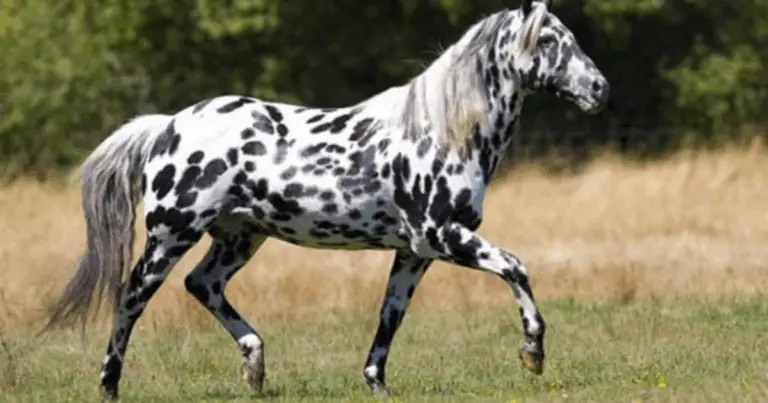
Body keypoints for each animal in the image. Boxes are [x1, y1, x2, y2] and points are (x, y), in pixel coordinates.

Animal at [44, 0, 609, 399]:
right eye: (550, 39)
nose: (600, 89)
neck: (443, 133)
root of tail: (168, 126)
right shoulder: (442, 235)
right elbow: (516, 267)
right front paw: (532, 351)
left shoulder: (415, 252)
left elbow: (391, 314)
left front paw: (375, 381)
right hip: (171, 235)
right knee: (131, 297)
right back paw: (109, 385)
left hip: (239, 237)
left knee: (201, 285)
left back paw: (255, 366)